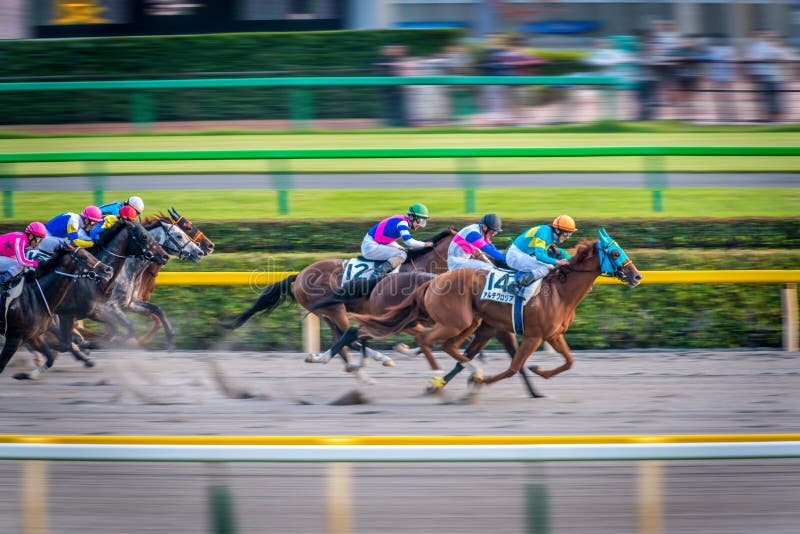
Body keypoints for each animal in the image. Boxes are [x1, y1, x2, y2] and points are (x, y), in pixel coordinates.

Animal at [0, 241, 112, 384]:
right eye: (84, 257)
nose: (108, 270)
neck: (35, 294)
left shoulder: (32, 336)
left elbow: (51, 358)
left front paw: (24, 375)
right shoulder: (15, 337)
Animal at [227, 228, 456, 374]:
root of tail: (299, 274)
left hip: (327, 313)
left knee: (344, 337)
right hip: (334, 309)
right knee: (348, 336)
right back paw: (378, 358)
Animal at [332, 229, 644, 394]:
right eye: (615, 253)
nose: (637, 276)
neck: (558, 293)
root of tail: (434, 281)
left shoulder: (552, 335)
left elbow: (568, 362)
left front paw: (540, 373)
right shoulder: (533, 335)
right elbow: (514, 367)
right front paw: (483, 379)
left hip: (469, 323)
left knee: (446, 346)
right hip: (458, 320)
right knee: (426, 340)